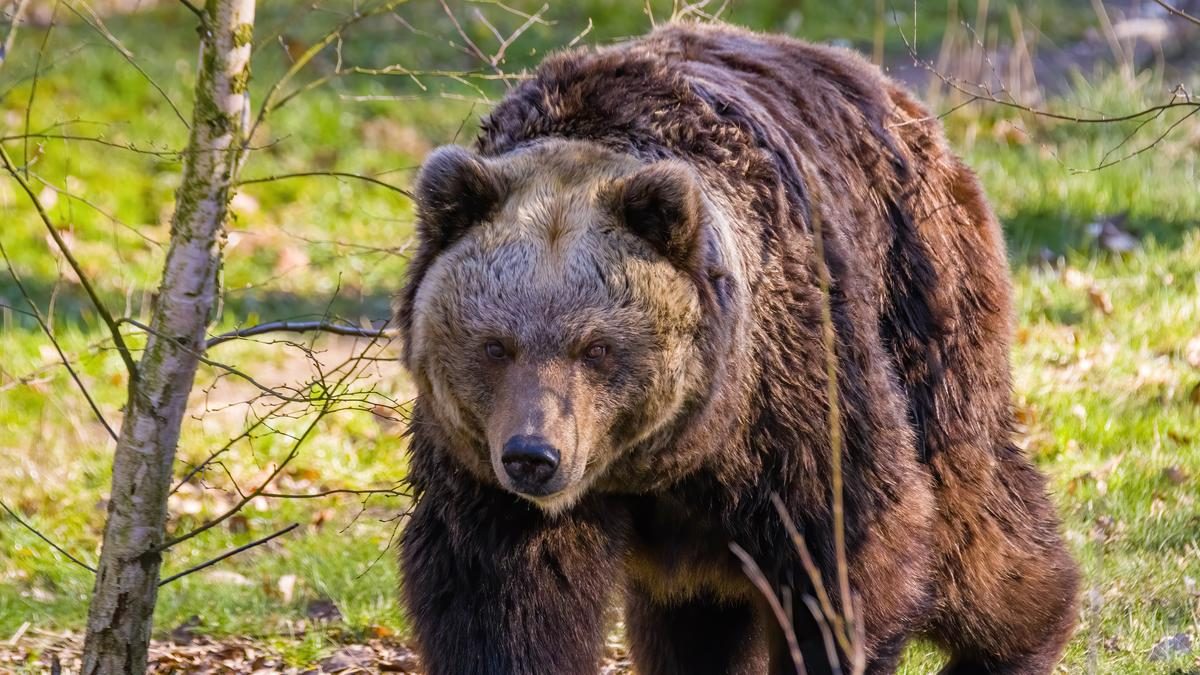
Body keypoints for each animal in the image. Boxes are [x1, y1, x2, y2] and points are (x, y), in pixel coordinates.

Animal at [398, 21, 1084, 672]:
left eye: (595, 348)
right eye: (495, 345)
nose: (533, 456)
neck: (668, 455)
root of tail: (894, 93)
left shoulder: (794, 393)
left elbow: (846, 552)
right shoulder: (482, 474)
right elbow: (502, 599)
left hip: (920, 293)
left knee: (970, 514)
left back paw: (1026, 634)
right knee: (695, 618)